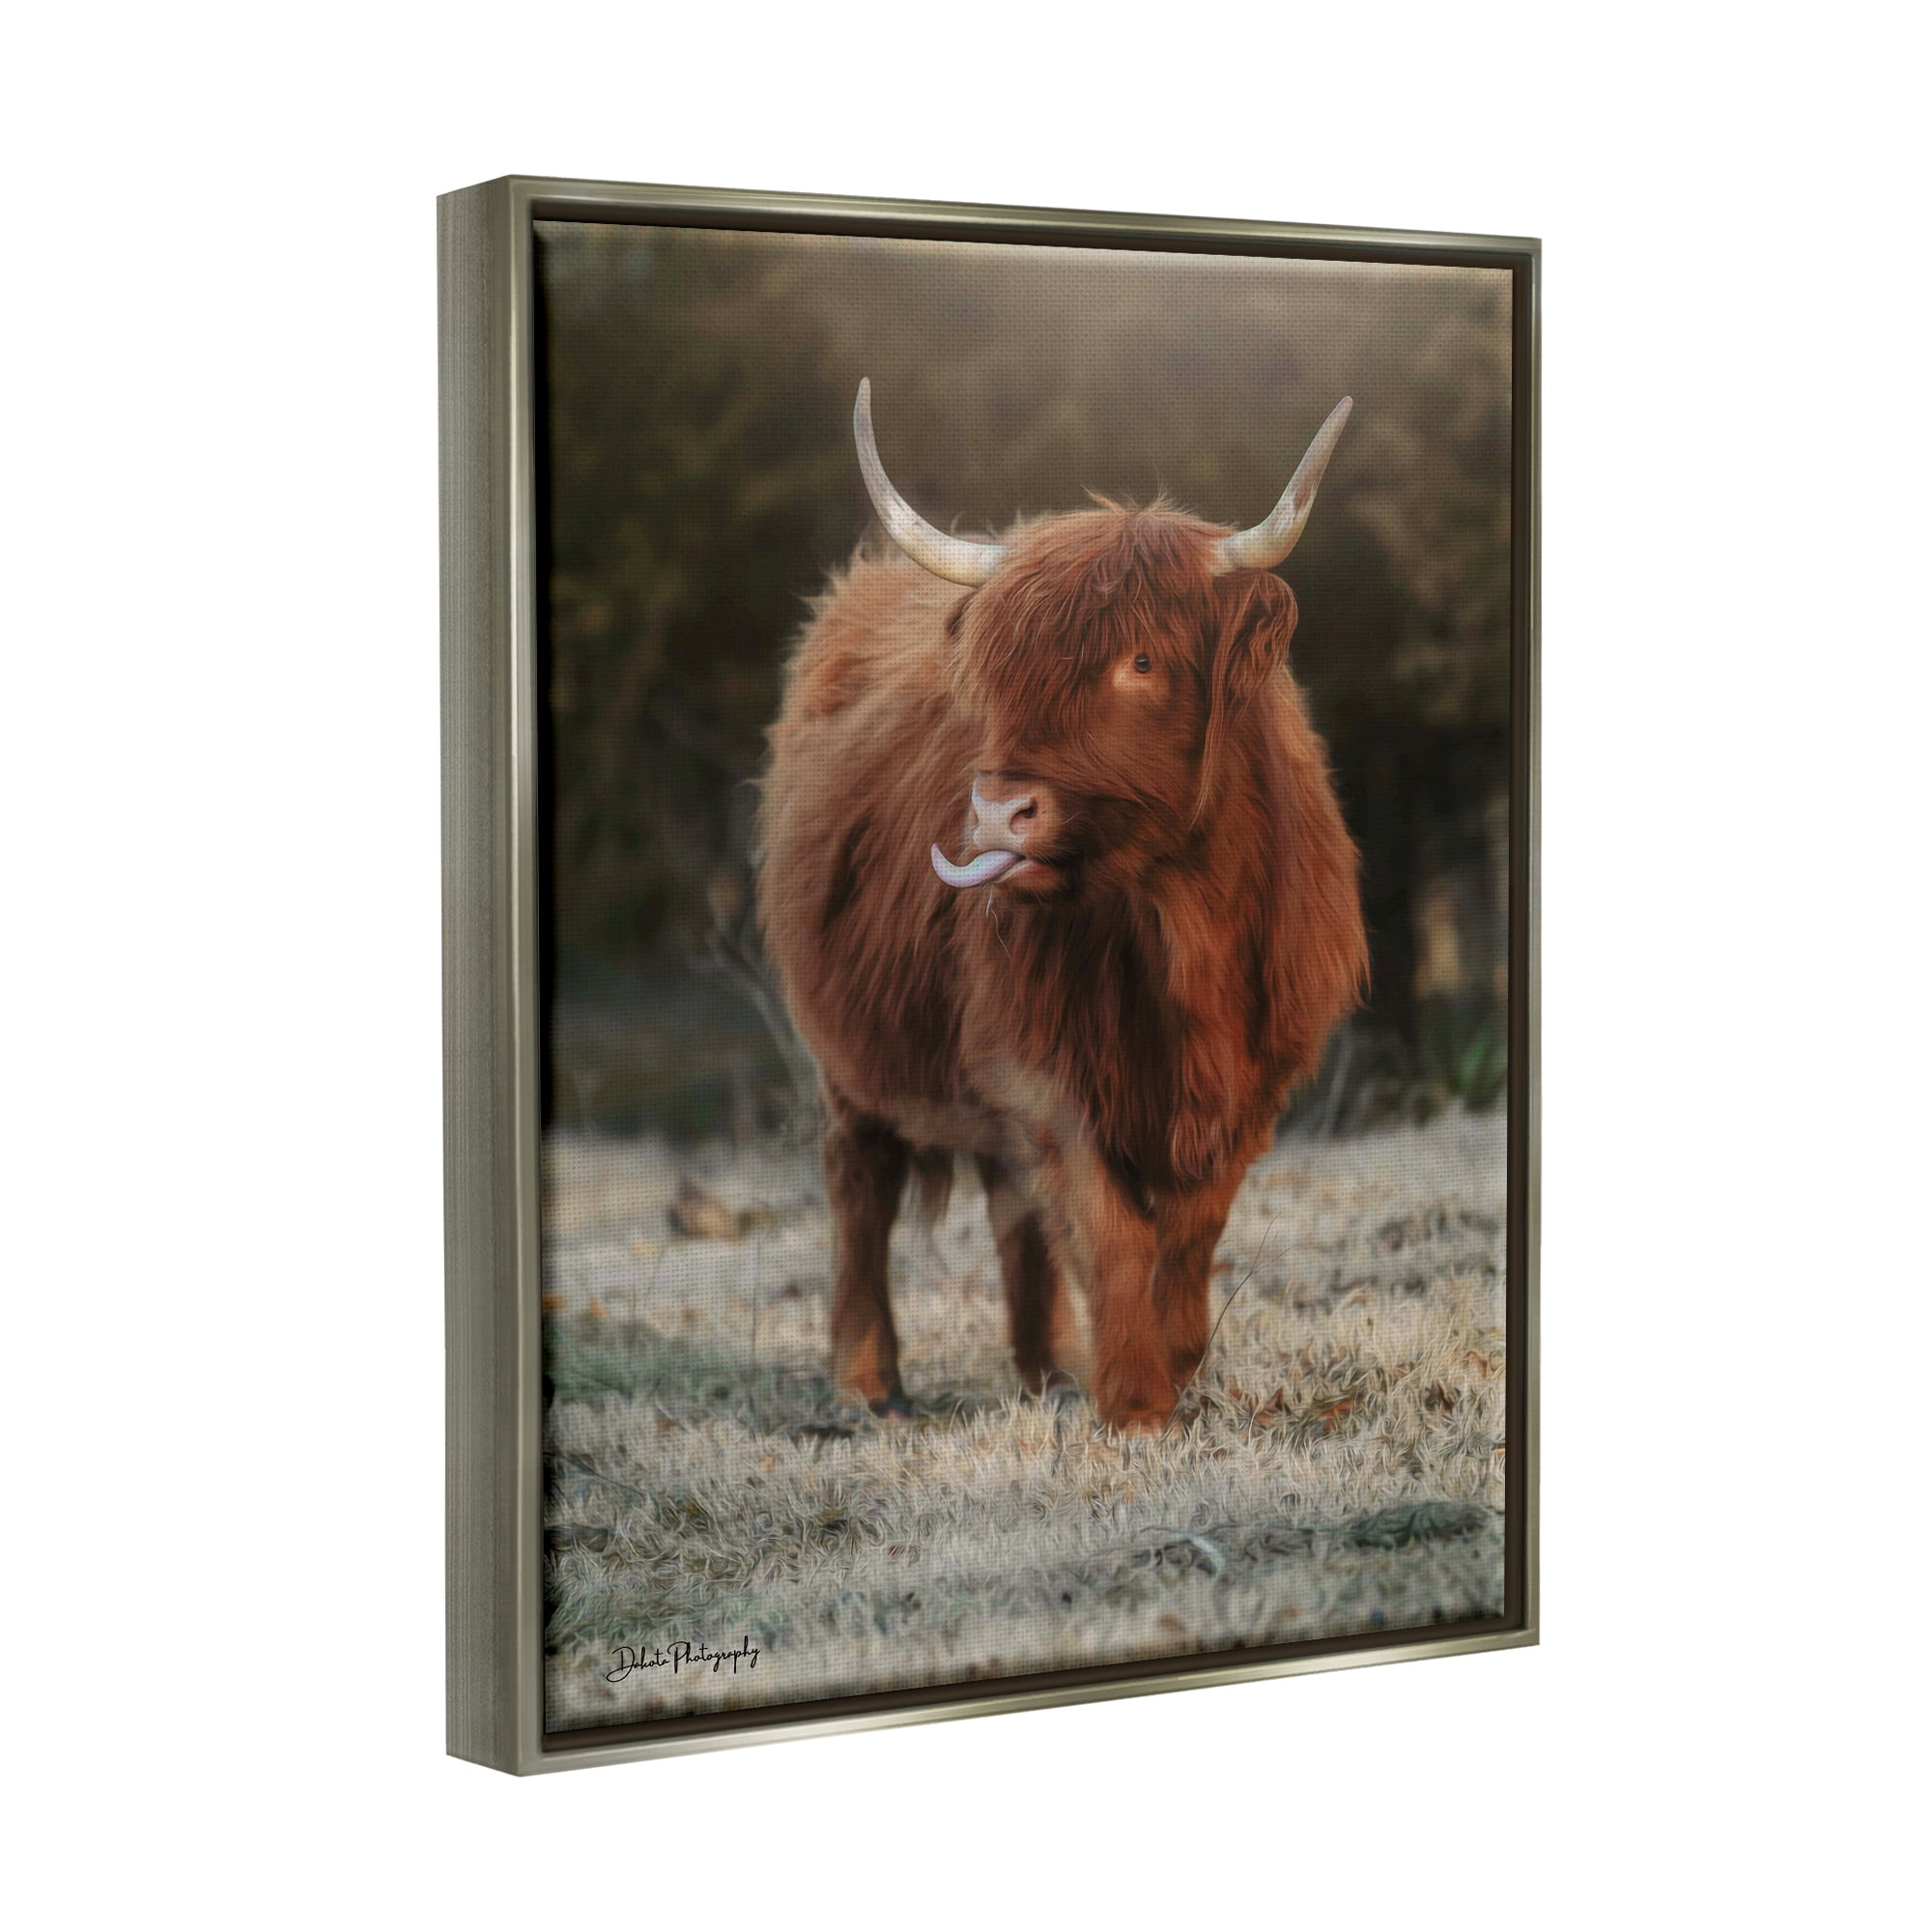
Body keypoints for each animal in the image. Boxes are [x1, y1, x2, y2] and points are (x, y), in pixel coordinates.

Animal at [756, 381, 1368, 1432]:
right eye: (1000, 672)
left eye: (1142, 661)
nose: (997, 811)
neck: (1178, 926)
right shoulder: (1049, 1071)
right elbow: (1110, 1228)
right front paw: (1135, 1404)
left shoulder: (1256, 1079)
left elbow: (1191, 1230)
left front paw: (1171, 1368)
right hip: (848, 1051)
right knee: (860, 1182)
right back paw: (867, 1377)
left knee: (1010, 1206)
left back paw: (1048, 1365)